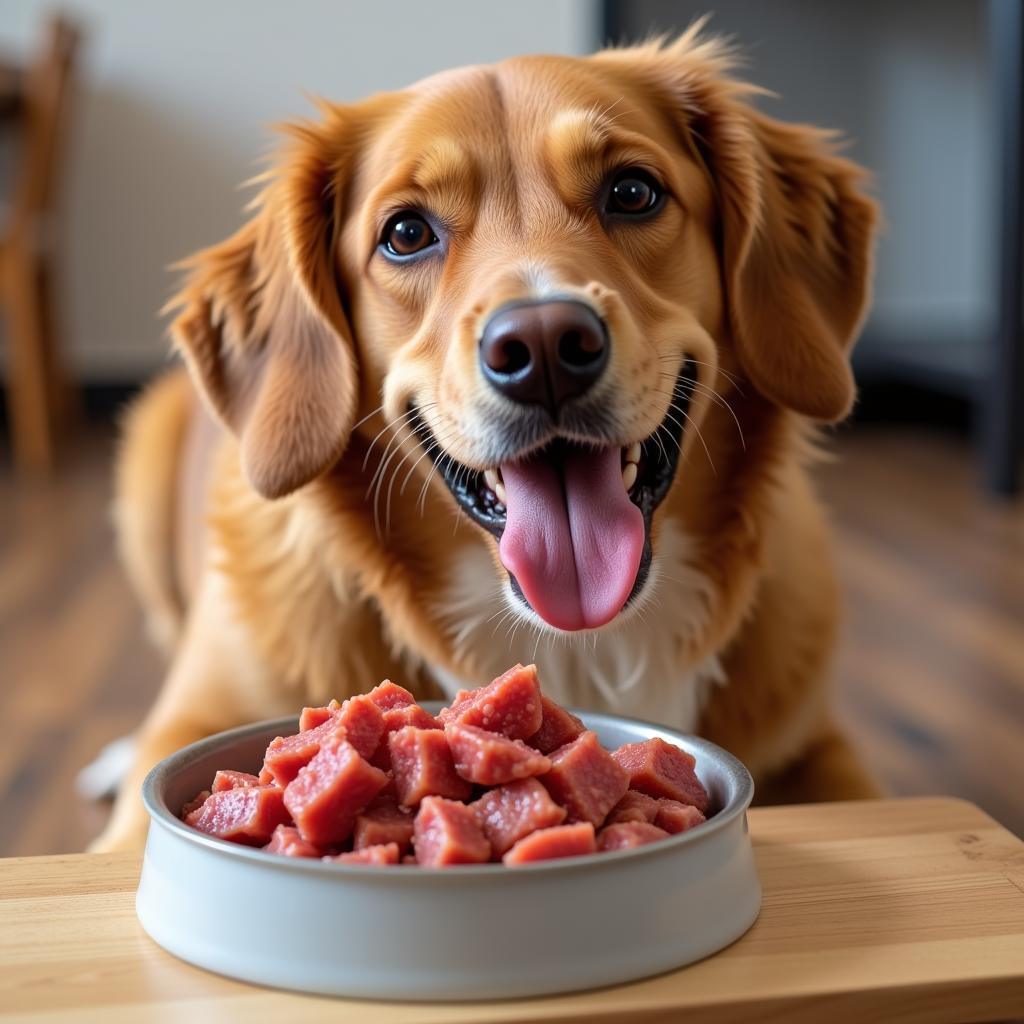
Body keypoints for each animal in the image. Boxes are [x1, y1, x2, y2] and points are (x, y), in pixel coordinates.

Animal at [94, 28, 880, 851]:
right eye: (406, 233)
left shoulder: (825, 748)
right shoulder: (193, 720)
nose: (544, 348)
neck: (579, 644)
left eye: (633, 192)